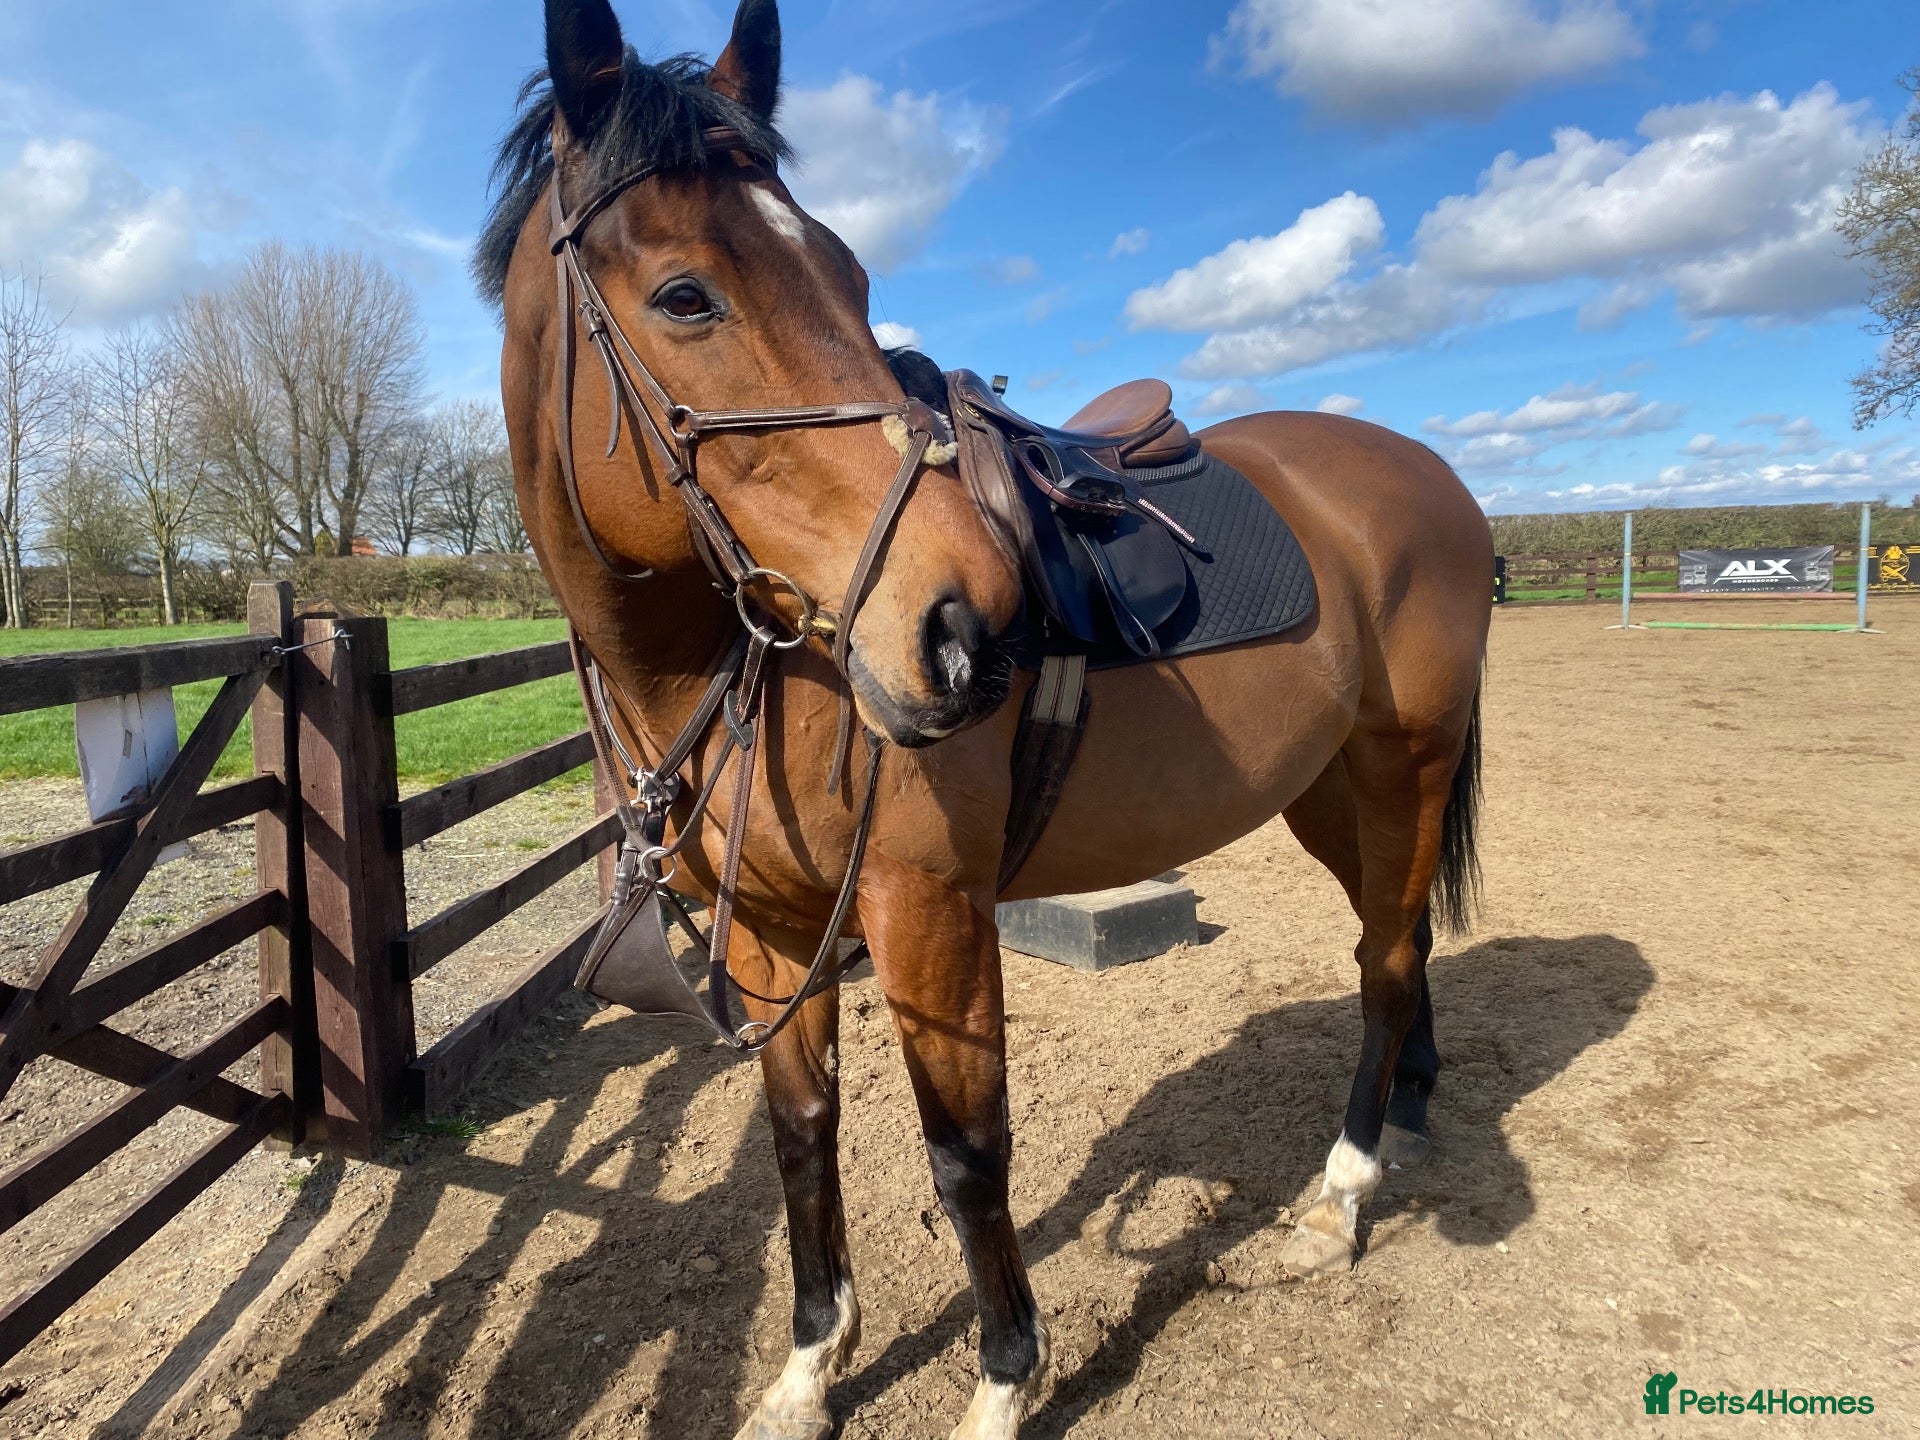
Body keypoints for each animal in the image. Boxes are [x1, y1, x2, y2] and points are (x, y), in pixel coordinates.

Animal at [483, 4, 1493, 1436]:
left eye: (853, 277)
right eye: (686, 295)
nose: (967, 628)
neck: (732, 670)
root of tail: (1425, 476)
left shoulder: (929, 912)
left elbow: (967, 1154)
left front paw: (1007, 1380)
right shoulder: (777, 936)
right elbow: (801, 1135)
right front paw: (808, 1371)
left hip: (1407, 765)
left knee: (1390, 960)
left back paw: (1342, 1195)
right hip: (1332, 787)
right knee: (1390, 948)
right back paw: (1402, 1117)